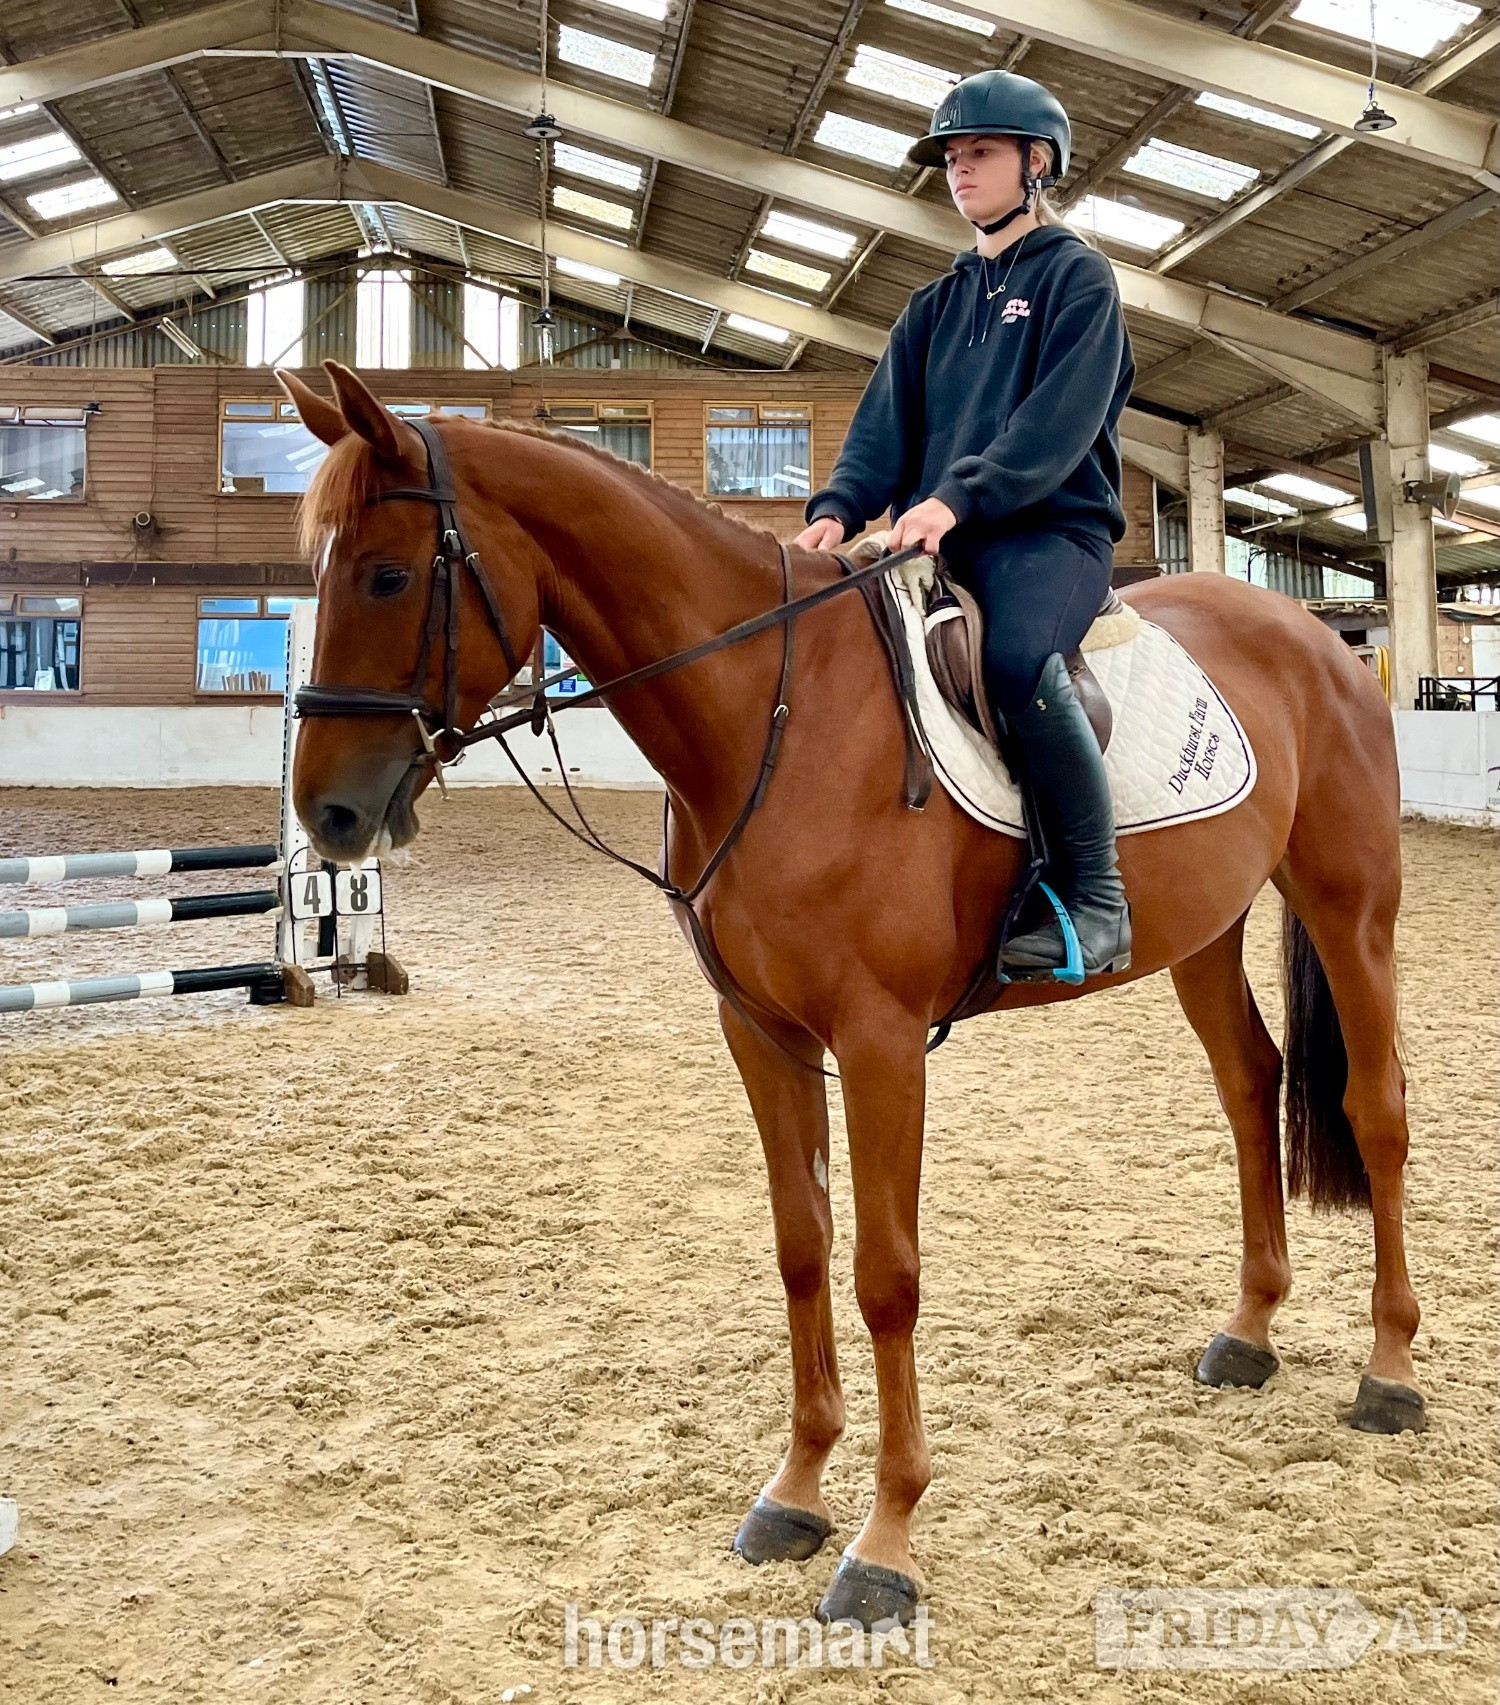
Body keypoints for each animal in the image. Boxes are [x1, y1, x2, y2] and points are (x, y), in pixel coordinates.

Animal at [277, 359, 1423, 1629]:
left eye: (386, 575)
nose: (329, 815)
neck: (769, 714)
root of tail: (1319, 636)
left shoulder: (880, 1041)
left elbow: (886, 1276)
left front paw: (885, 1540)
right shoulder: (762, 1032)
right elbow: (803, 1248)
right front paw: (794, 1491)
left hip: (1350, 908)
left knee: (1376, 1108)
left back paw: (1390, 1374)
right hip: (1206, 933)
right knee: (1249, 1084)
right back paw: (1251, 1330)